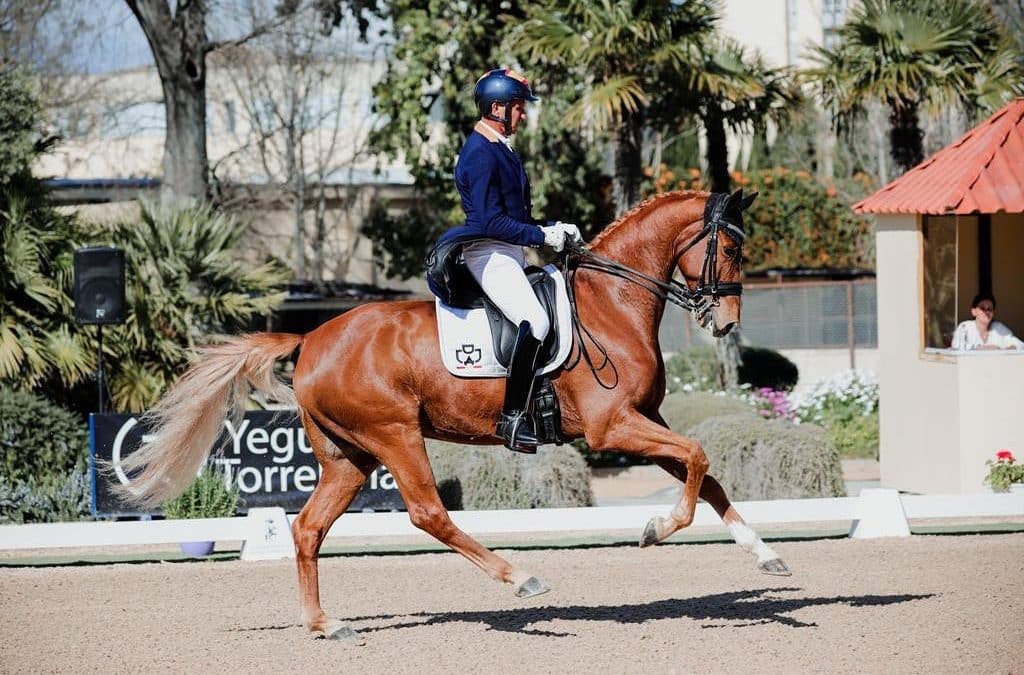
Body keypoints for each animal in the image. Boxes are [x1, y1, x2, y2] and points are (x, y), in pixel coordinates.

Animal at [121, 188, 790, 639]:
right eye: (731, 246)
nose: (725, 323)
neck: (613, 302)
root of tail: (310, 338)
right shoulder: (613, 426)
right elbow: (698, 461)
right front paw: (655, 527)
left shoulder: (646, 419)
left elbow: (708, 476)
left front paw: (766, 555)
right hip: (394, 435)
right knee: (427, 513)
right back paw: (520, 578)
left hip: (348, 457)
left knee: (309, 528)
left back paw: (324, 624)